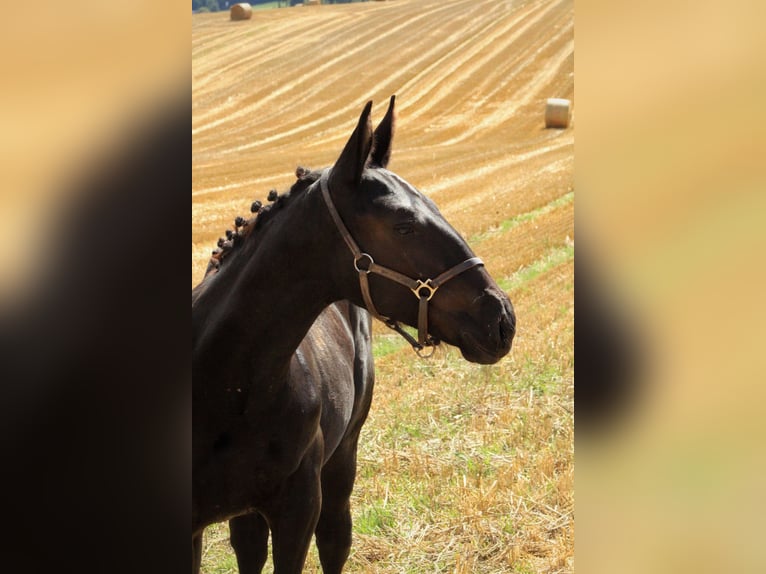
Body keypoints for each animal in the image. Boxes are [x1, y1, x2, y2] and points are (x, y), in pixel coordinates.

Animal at [192, 96, 516, 573]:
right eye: (403, 225)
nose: (501, 317)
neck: (226, 385)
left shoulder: (299, 509)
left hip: (342, 461)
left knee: (334, 540)